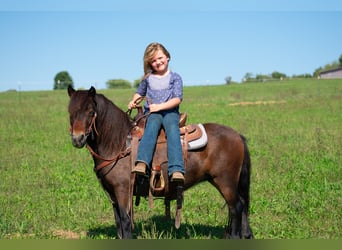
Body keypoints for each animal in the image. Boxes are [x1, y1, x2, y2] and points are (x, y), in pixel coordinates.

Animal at [67, 85, 254, 238]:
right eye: (70, 111)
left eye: (91, 112)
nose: (77, 139)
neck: (119, 143)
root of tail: (237, 135)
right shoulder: (112, 194)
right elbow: (118, 223)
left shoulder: (122, 191)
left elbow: (126, 223)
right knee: (242, 206)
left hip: (225, 182)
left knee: (236, 207)